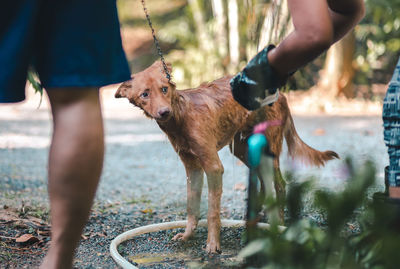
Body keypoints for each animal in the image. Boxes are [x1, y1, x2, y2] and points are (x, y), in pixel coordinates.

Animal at [114, 61, 340, 253]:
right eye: (145, 94)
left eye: (164, 89)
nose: (163, 112)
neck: (181, 116)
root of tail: (281, 95)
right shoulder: (192, 168)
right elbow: (191, 206)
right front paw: (187, 236)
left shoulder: (213, 166)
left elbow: (212, 212)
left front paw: (213, 245)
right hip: (243, 150)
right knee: (263, 183)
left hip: (269, 150)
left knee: (280, 184)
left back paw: (280, 224)